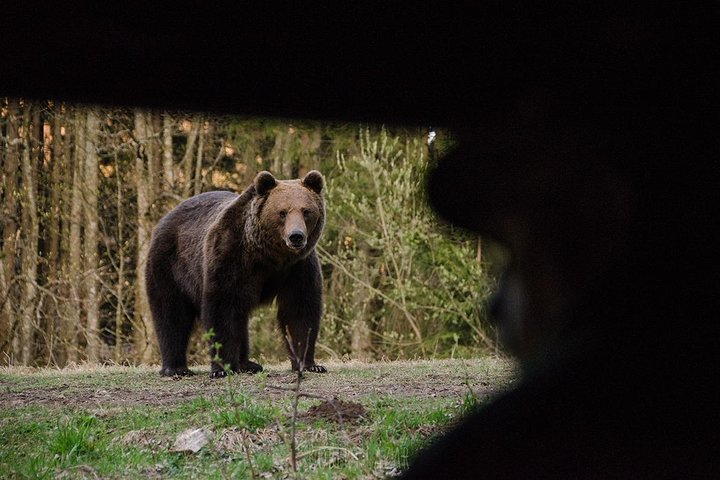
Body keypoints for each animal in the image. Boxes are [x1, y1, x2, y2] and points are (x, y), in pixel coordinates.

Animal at [145, 170, 327, 378]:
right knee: (171, 314)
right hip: (170, 265)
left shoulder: (297, 268)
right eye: (282, 212)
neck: (268, 256)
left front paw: (310, 363)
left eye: (306, 211)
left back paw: (248, 364)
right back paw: (176, 368)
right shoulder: (230, 255)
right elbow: (223, 309)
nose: (296, 236)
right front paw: (222, 368)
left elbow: (299, 310)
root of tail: (166, 216)